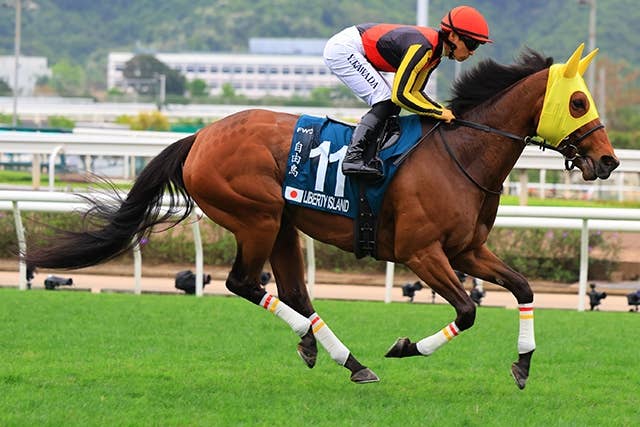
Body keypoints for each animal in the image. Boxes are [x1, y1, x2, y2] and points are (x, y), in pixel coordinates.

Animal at [24, 45, 619, 389]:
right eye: (579, 103)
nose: (609, 161)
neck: (462, 154)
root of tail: (201, 135)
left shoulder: (467, 249)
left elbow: (522, 288)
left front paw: (523, 365)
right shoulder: (421, 253)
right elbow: (469, 311)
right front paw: (407, 347)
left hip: (284, 226)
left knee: (294, 292)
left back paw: (338, 356)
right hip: (257, 217)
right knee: (245, 283)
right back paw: (338, 354)